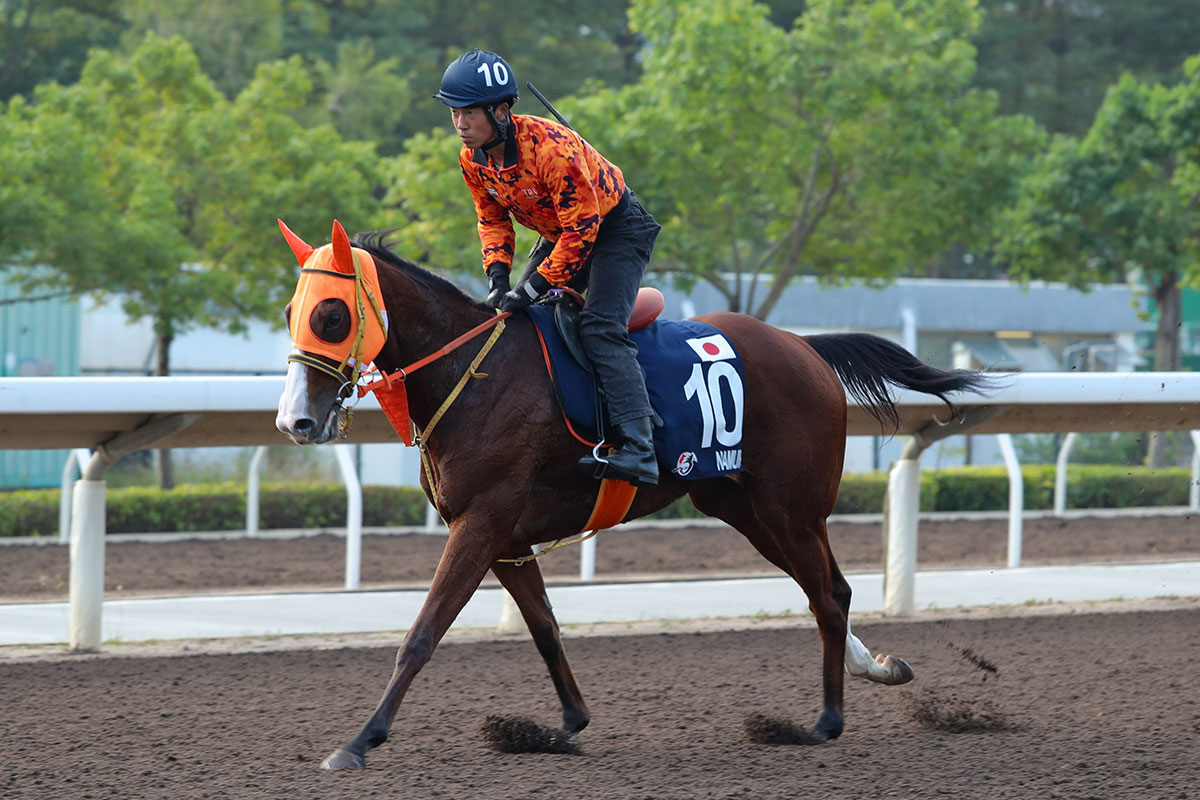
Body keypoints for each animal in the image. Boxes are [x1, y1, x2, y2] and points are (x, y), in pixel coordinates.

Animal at [274, 219, 993, 767]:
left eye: (331, 315)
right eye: (290, 313)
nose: (294, 421)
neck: (473, 375)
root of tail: (805, 347)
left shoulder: (480, 525)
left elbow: (422, 634)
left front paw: (358, 742)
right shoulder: (505, 538)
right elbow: (543, 626)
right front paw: (565, 723)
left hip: (791, 507)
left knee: (829, 593)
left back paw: (826, 720)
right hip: (740, 506)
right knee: (825, 592)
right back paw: (877, 670)